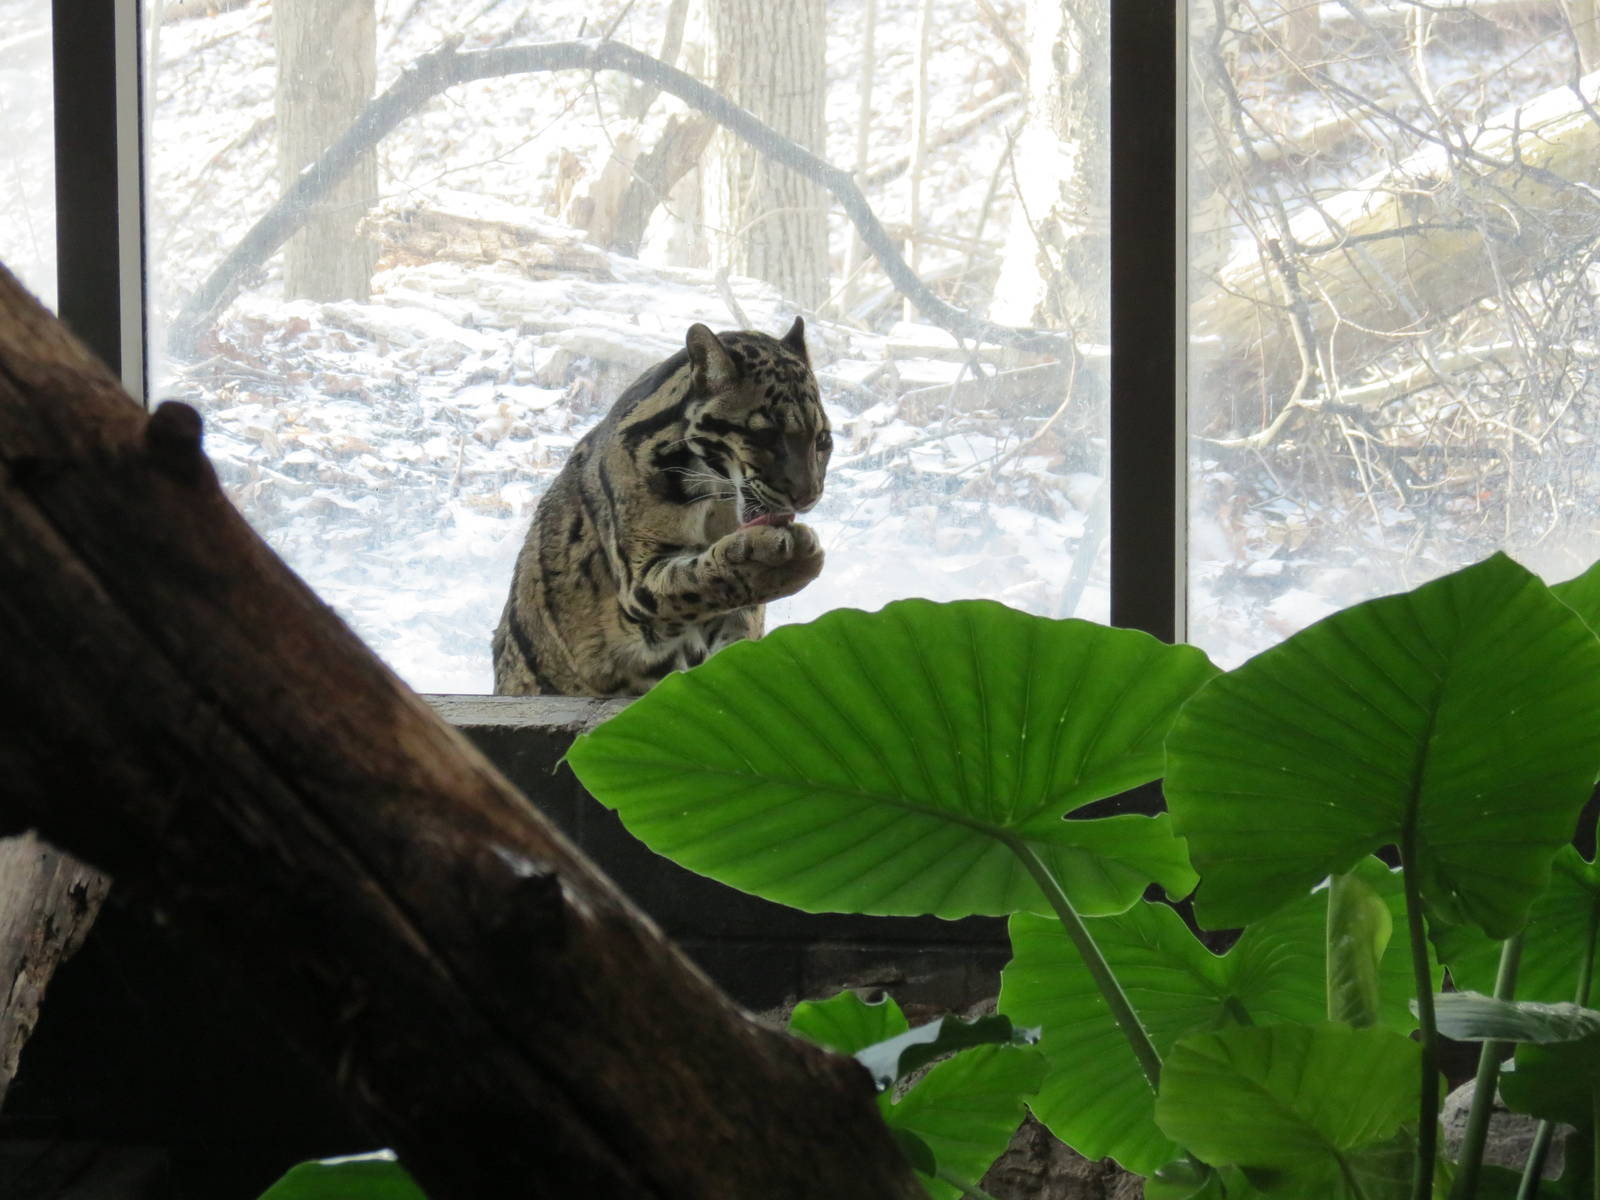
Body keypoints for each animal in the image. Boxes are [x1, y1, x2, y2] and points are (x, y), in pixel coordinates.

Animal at [492, 317, 832, 696]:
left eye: (823, 441)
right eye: (764, 435)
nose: (808, 496)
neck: (716, 497)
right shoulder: (638, 579)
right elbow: (699, 580)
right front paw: (781, 563)